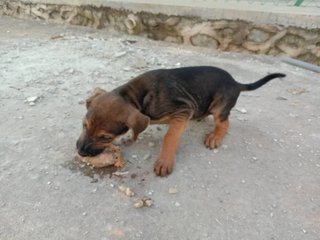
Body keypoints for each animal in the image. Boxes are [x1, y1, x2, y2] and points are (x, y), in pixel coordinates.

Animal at [77, 65, 284, 176]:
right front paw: (130, 137)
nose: (80, 152)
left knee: (224, 122)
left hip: (220, 106)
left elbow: (170, 137)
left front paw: (164, 161)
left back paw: (215, 136)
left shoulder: (183, 110)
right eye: (84, 125)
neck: (135, 96)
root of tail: (236, 83)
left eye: (105, 137)